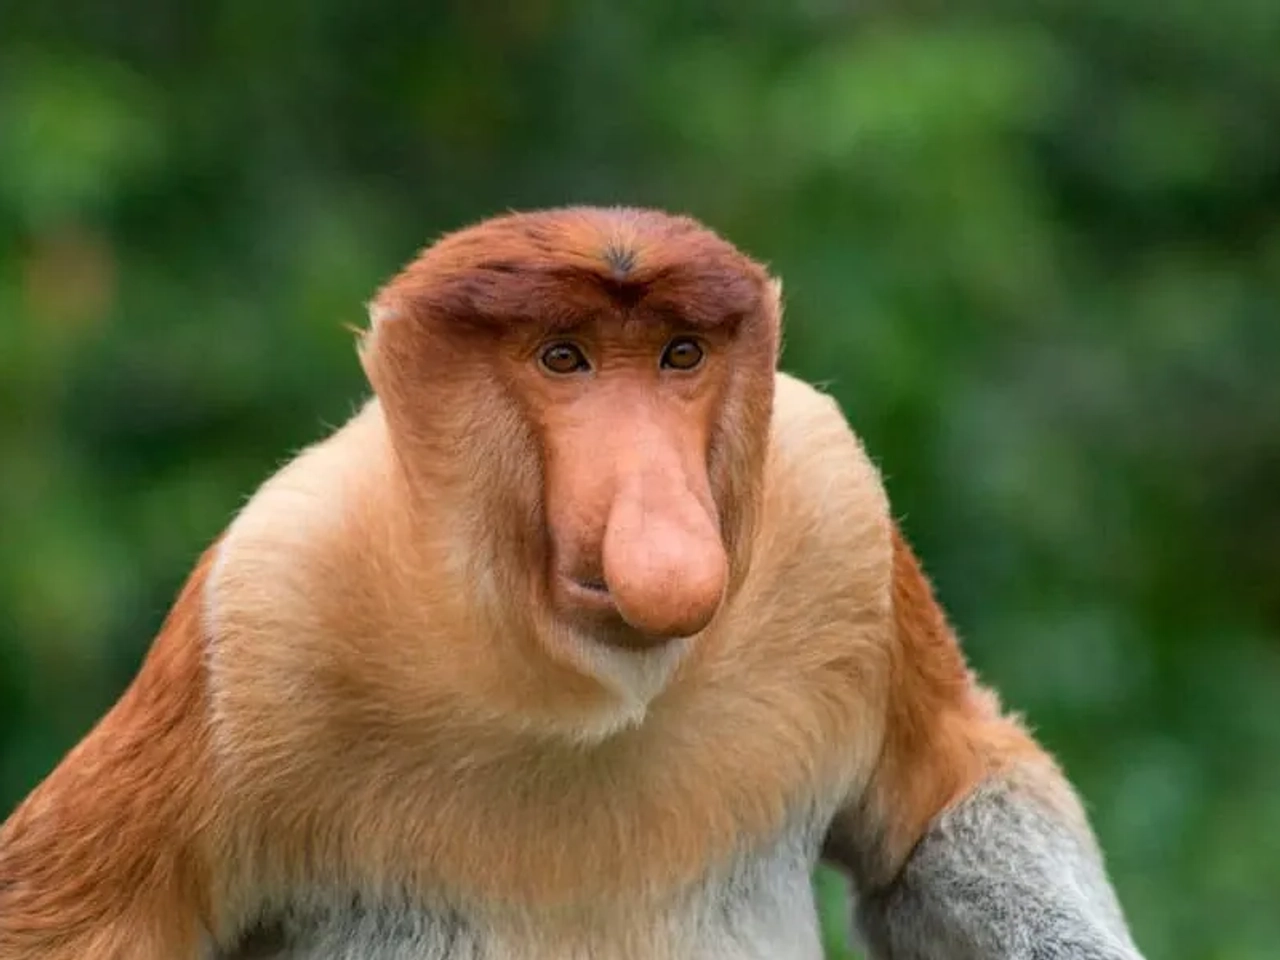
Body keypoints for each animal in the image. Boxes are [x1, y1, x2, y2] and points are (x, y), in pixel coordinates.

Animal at [0, 206, 1146, 960]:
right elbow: (72, 920)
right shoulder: (265, 603)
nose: (662, 522)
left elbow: (948, 795)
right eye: (563, 358)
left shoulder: (834, 512)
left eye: (680, 355)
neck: (585, 690)